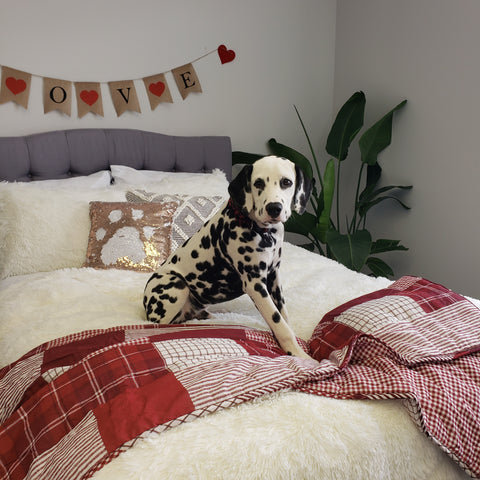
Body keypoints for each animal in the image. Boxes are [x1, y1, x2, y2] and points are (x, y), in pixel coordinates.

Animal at [144, 156, 314, 358]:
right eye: (258, 183)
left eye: (286, 182)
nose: (274, 208)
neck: (265, 233)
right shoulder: (255, 284)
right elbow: (278, 322)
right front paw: (299, 354)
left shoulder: (273, 277)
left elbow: (284, 316)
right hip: (176, 285)